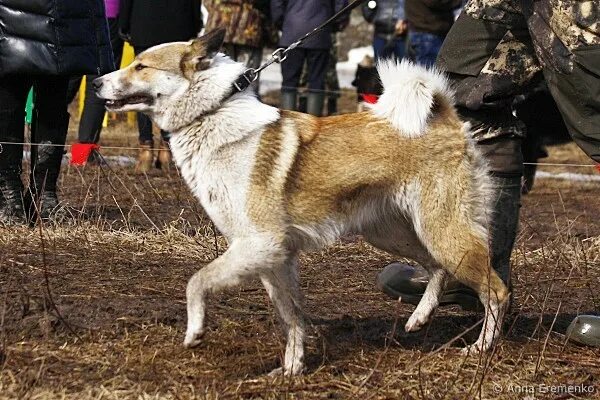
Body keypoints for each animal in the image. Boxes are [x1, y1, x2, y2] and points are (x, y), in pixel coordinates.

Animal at [96, 28, 508, 376]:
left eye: (141, 66)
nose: (97, 82)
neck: (211, 115)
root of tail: (445, 117)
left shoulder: (259, 244)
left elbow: (196, 282)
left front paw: (195, 330)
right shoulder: (273, 258)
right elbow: (292, 316)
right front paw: (292, 370)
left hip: (444, 233)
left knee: (495, 291)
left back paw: (481, 349)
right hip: (392, 233)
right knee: (436, 268)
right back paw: (420, 317)